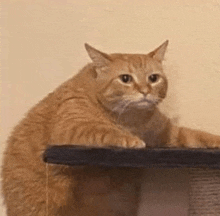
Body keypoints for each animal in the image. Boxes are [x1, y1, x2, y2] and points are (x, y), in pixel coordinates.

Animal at [1, 41, 220, 216]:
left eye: (153, 78)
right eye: (125, 78)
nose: (145, 91)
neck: (132, 119)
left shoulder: (166, 135)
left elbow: (198, 136)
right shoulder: (70, 128)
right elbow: (105, 131)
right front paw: (131, 139)